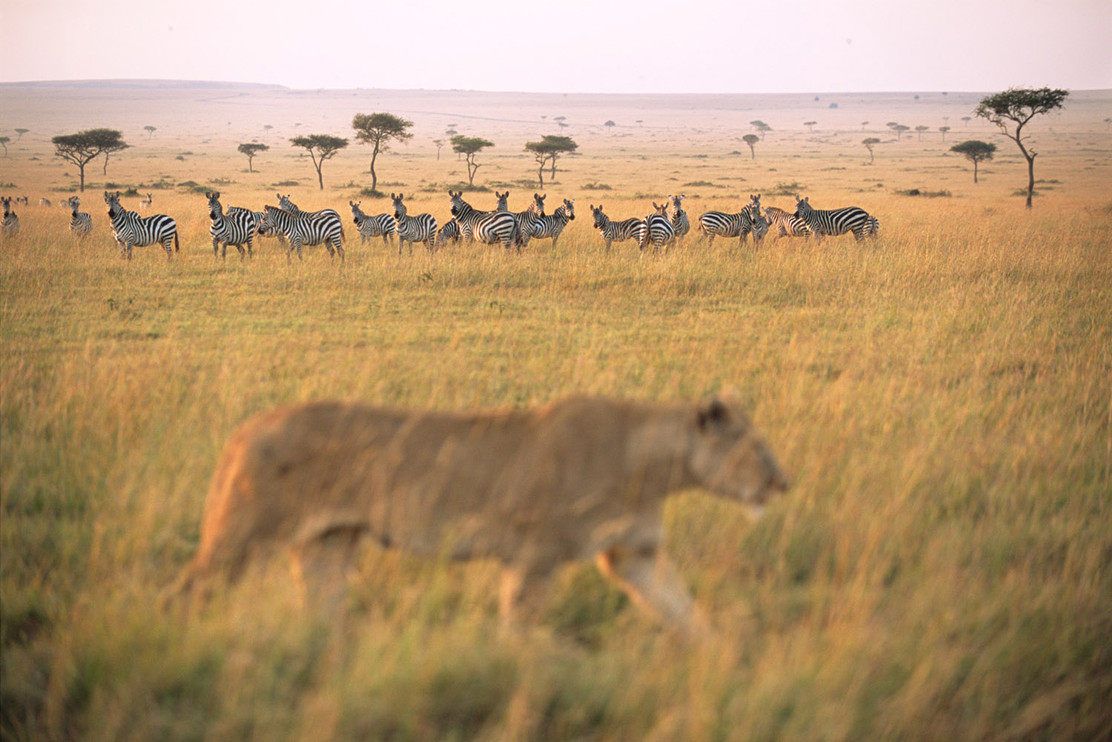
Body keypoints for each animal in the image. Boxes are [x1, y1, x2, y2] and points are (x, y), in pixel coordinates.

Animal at [175, 395, 789, 634]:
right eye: (757, 448)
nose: (784, 483)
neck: (653, 465)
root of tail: (247, 428)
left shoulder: (636, 555)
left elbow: (686, 614)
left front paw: (726, 665)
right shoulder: (535, 557)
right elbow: (519, 630)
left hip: (329, 545)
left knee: (322, 613)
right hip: (241, 536)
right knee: (188, 590)